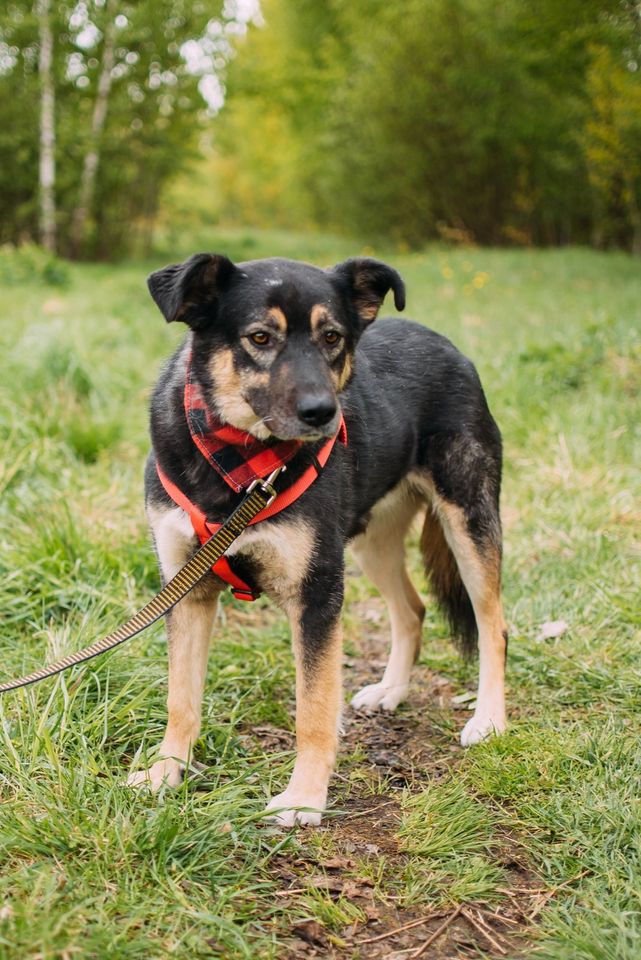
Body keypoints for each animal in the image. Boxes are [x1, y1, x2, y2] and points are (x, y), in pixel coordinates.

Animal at [127, 253, 508, 824]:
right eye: (260, 337)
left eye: (332, 337)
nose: (324, 413)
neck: (241, 463)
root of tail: (449, 346)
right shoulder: (186, 590)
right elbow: (181, 698)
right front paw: (166, 772)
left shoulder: (317, 594)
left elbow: (313, 708)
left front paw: (304, 798)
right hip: (373, 540)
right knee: (412, 609)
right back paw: (391, 691)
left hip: (469, 521)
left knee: (493, 625)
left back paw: (489, 720)